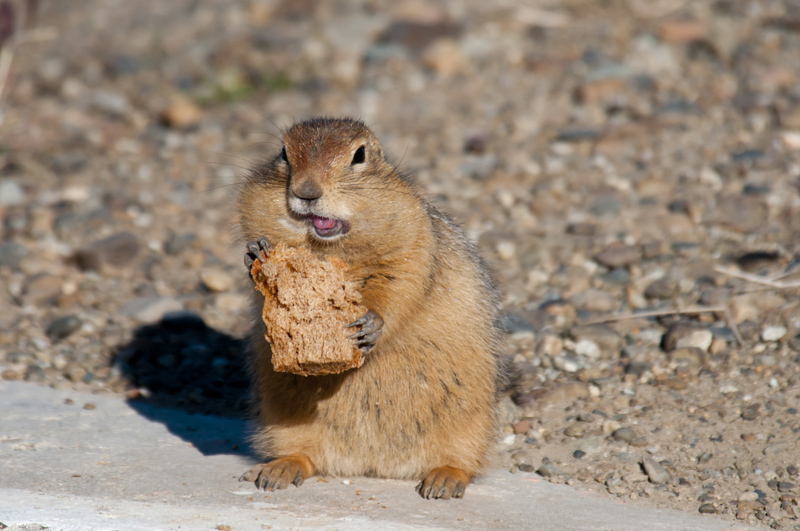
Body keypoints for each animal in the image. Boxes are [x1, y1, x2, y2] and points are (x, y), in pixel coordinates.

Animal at [236, 116, 506, 498]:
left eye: (359, 155)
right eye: (284, 153)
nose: (306, 191)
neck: (331, 247)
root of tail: (372, 465)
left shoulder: (412, 243)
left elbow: (399, 286)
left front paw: (370, 324)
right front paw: (255, 254)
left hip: (470, 424)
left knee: (463, 460)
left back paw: (443, 480)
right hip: (281, 420)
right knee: (303, 454)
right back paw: (277, 470)